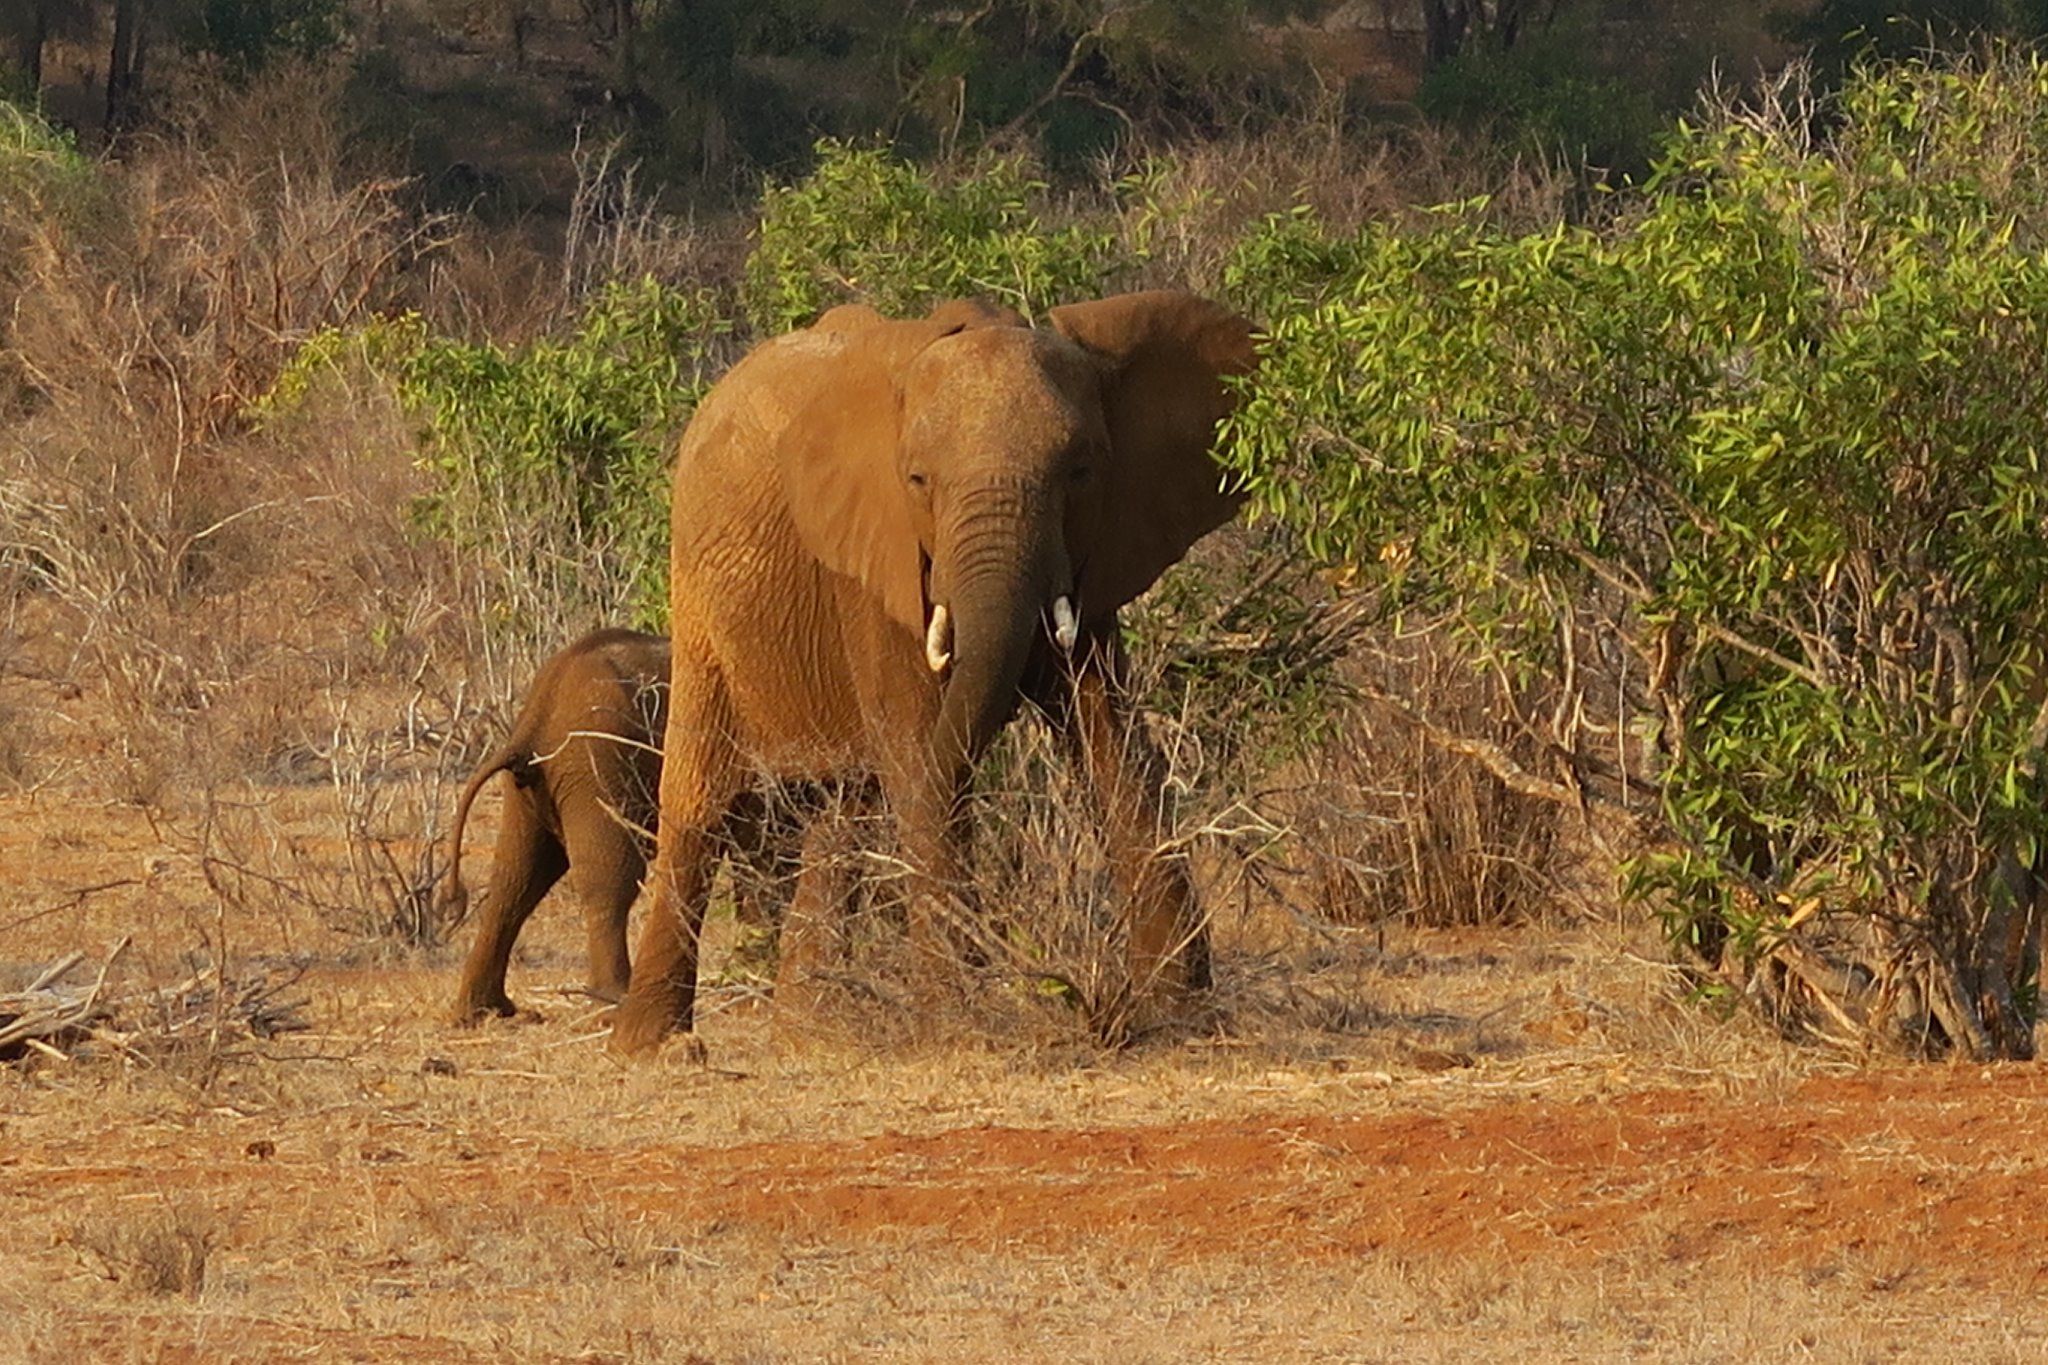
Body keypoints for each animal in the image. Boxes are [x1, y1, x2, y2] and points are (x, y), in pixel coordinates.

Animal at [606, 290, 1253, 1055]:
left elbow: (1113, 744)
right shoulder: (874, 560)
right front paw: (959, 1025)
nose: (1052, 985)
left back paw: (809, 1028)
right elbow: (920, 756)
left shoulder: (1093, 560)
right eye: (917, 480)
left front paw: (1180, 1013)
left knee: (845, 808)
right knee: (701, 805)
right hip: (700, 602)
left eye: (1082, 471)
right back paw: (655, 1045)